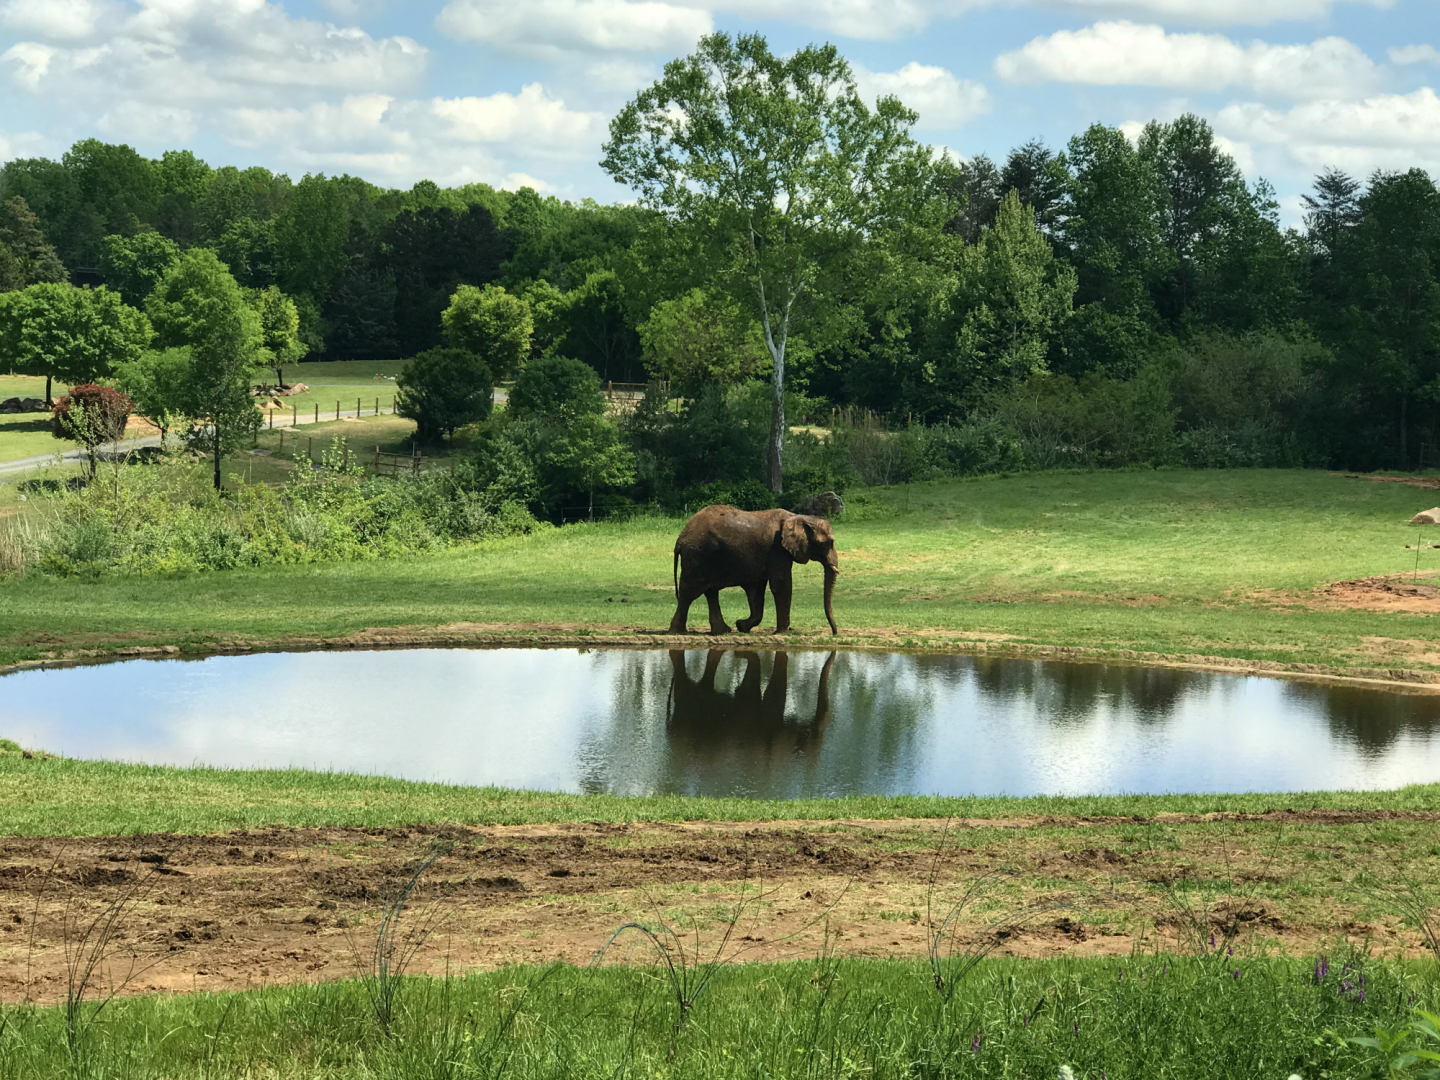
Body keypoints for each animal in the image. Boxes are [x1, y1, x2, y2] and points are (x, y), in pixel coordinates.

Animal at [668, 505, 838, 635]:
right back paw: (678, 632)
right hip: (698, 555)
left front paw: (742, 626)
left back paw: (723, 631)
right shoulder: (777, 549)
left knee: (710, 592)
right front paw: (783, 632)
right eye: (827, 543)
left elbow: (756, 590)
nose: (834, 633)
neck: (798, 517)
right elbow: (781, 585)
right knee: (689, 592)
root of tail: (680, 539)